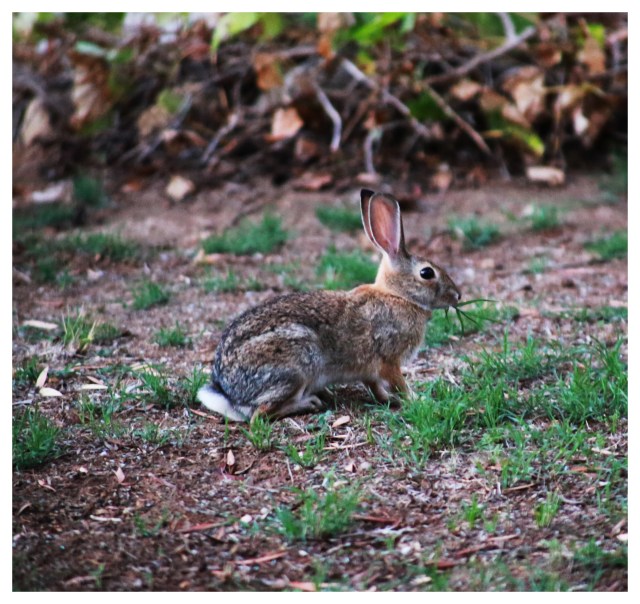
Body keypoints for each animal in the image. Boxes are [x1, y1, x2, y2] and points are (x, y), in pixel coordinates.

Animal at [198, 189, 461, 423]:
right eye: (427, 273)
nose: (457, 295)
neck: (398, 296)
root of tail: (229, 392)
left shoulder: (370, 370)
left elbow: (375, 386)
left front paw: (388, 400)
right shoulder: (389, 359)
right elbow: (398, 383)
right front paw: (417, 399)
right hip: (297, 365)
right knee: (259, 414)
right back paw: (309, 402)